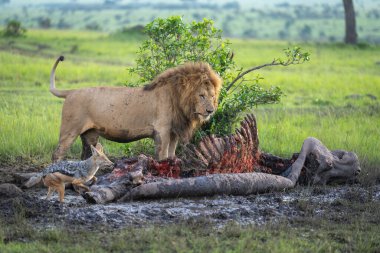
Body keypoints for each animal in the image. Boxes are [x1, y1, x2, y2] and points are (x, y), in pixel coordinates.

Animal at [50, 56, 223, 161]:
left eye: (212, 96)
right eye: (201, 95)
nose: (210, 111)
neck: (179, 99)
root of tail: (71, 92)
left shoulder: (174, 132)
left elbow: (171, 155)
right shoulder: (162, 130)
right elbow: (162, 155)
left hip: (90, 135)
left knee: (86, 156)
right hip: (69, 131)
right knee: (57, 153)